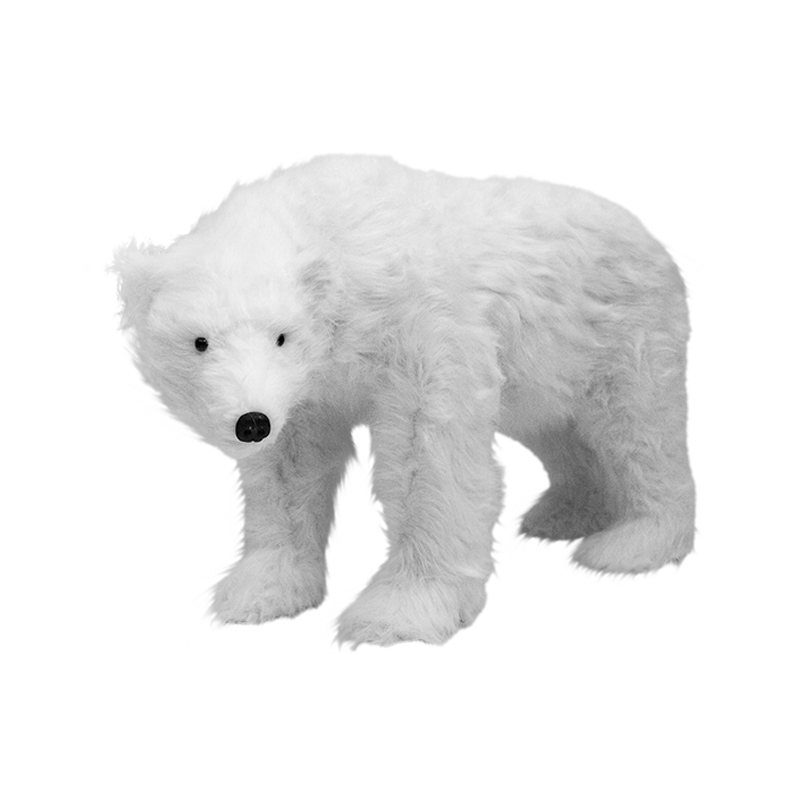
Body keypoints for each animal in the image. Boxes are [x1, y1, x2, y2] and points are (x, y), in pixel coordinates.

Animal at [109, 154, 699, 651]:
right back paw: (553, 516)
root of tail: (655, 240)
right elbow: (290, 464)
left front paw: (390, 613)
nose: (251, 422)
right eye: (200, 341)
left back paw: (624, 546)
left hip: (622, 327)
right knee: (555, 433)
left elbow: (426, 451)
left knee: (640, 430)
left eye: (281, 335)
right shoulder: (301, 389)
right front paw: (254, 592)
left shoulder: (418, 322)